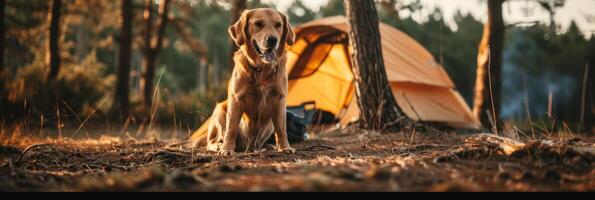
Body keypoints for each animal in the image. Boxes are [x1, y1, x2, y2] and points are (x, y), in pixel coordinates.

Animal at [193, 8, 296, 155]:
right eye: (258, 23)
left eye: (278, 25)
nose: (272, 40)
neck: (261, 69)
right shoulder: (236, 98)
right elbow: (231, 128)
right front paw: (227, 149)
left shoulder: (279, 98)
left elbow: (281, 128)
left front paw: (285, 147)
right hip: (220, 110)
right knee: (211, 140)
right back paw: (219, 145)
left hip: (269, 125)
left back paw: (267, 146)